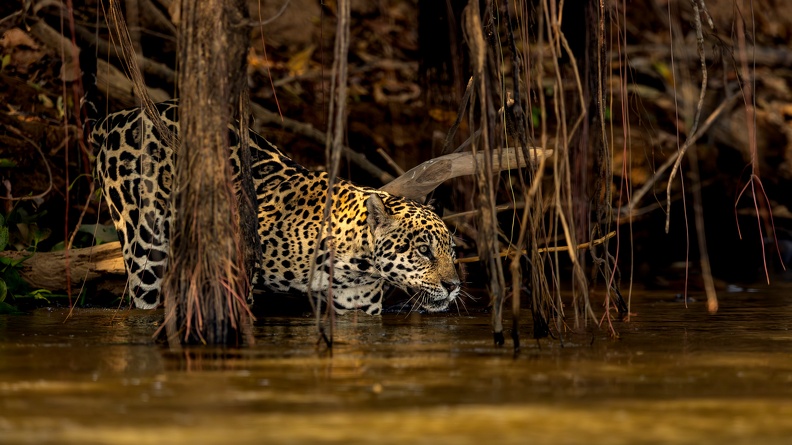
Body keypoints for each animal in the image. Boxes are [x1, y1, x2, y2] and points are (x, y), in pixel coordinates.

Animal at [91, 99, 461, 315]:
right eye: (424, 250)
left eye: (452, 252)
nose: (454, 286)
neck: (356, 263)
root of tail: (122, 114)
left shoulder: (358, 304)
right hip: (145, 246)